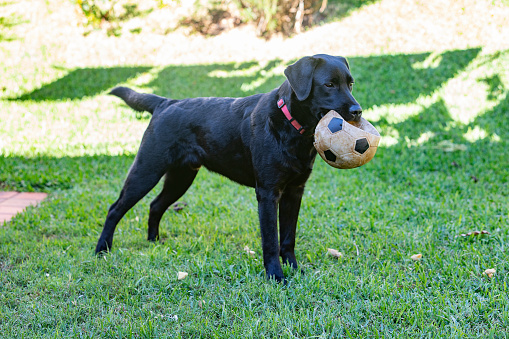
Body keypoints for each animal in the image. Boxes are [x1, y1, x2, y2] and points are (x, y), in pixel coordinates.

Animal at [95, 54, 362, 282]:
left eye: (350, 84)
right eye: (329, 84)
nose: (357, 111)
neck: (291, 125)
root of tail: (165, 103)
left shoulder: (295, 191)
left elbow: (288, 238)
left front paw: (295, 269)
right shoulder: (268, 193)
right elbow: (271, 241)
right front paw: (276, 276)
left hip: (181, 177)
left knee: (155, 205)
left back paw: (154, 242)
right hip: (146, 170)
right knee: (115, 208)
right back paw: (102, 250)